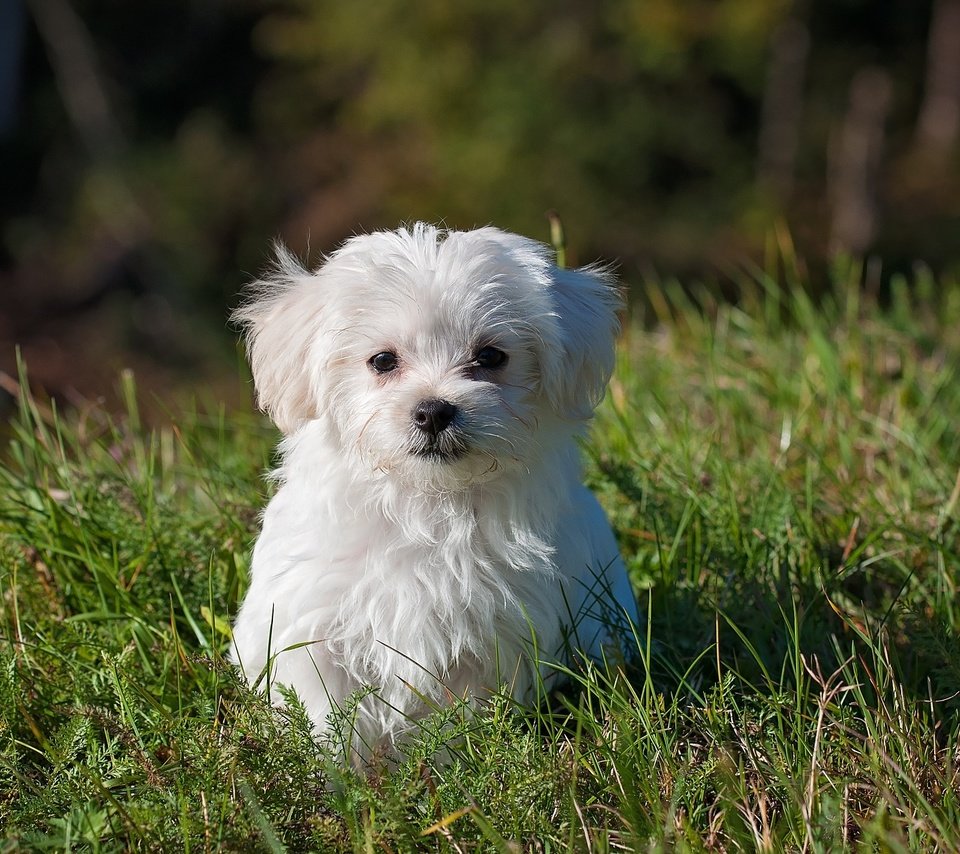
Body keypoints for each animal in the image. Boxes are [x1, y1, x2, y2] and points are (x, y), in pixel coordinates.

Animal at [229, 222, 636, 764]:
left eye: (490, 356)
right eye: (382, 361)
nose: (433, 410)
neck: (427, 502)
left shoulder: (493, 638)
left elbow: (460, 718)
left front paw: (448, 769)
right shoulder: (312, 627)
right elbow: (325, 716)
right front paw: (336, 778)